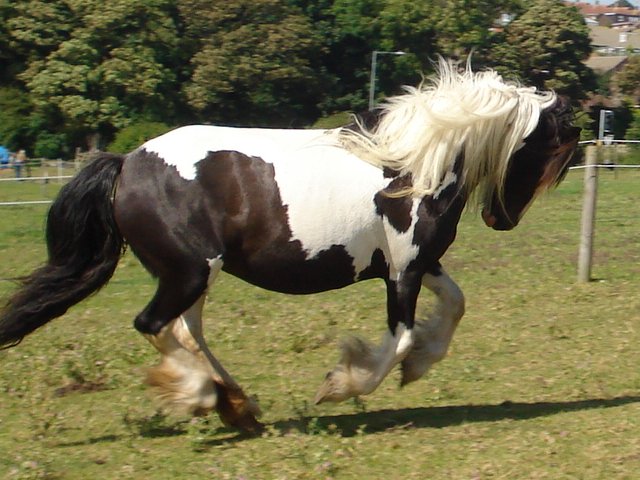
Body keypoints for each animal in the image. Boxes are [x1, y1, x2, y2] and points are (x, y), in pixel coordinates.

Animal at [0, 60, 580, 432]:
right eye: (551, 153)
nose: (500, 219)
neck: (414, 165)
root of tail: (126, 163)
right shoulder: (404, 270)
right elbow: (400, 339)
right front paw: (342, 383)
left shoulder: (417, 263)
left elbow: (454, 306)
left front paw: (416, 368)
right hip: (189, 271)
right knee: (157, 325)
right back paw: (207, 396)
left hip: (193, 274)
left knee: (187, 331)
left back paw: (237, 404)